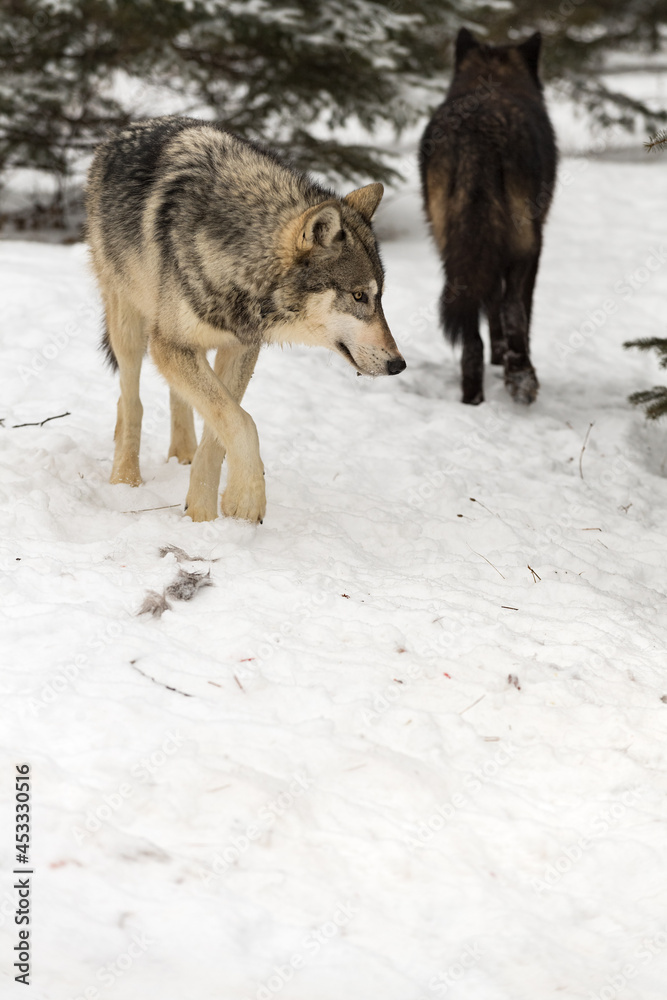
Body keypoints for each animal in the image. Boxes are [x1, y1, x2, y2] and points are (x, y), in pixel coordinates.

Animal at [86, 116, 405, 522]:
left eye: (379, 297)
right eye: (359, 296)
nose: (399, 364)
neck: (239, 255)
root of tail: (129, 128)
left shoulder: (239, 349)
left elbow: (222, 428)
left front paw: (203, 514)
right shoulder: (169, 344)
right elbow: (242, 421)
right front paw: (246, 500)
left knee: (178, 399)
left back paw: (182, 455)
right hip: (130, 326)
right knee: (130, 401)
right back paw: (125, 478)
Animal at [420, 28, 557, 405]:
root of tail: (476, 128)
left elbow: (489, 303)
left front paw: (496, 357)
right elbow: (515, 308)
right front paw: (506, 361)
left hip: (450, 244)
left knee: (469, 331)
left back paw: (472, 398)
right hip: (526, 242)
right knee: (513, 307)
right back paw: (522, 379)